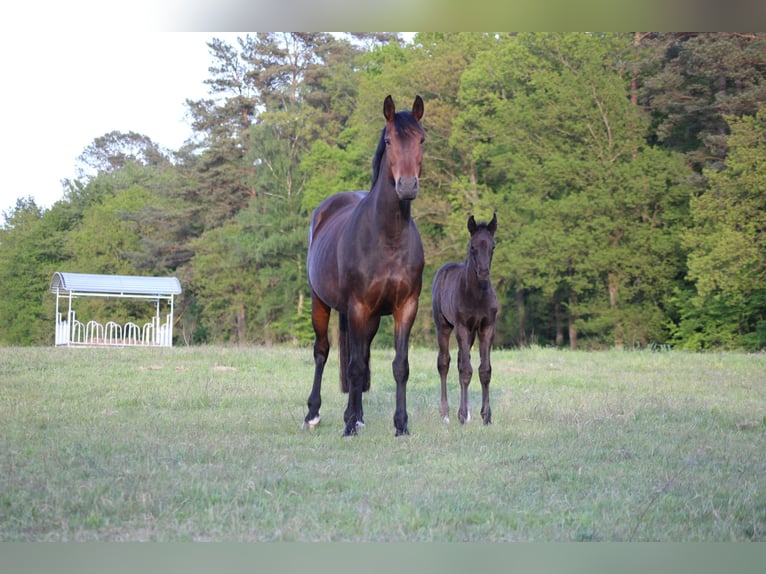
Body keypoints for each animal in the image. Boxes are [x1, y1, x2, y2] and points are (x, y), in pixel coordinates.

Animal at [304, 95, 426, 436]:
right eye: (389, 140)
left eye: (422, 139)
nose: (407, 185)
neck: (387, 237)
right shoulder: (357, 306)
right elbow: (355, 367)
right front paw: (347, 427)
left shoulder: (405, 307)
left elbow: (399, 366)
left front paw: (401, 425)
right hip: (321, 303)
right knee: (323, 353)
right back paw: (313, 414)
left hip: (368, 319)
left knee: (361, 355)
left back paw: (356, 415)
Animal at [432, 214, 498, 426]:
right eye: (473, 247)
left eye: (493, 246)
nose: (483, 272)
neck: (477, 295)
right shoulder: (461, 327)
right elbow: (465, 371)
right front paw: (461, 415)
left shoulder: (486, 328)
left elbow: (484, 370)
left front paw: (486, 415)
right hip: (444, 327)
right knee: (444, 363)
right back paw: (446, 413)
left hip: (471, 334)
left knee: (462, 360)